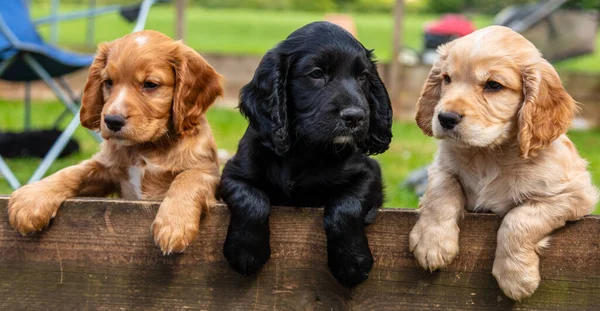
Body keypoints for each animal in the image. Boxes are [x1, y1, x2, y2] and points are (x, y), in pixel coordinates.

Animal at [7, 29, 223, 255]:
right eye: (109, 82)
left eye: (150, 84)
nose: (112, 121)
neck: (146, 148)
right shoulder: (106, 168)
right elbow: (72, 171)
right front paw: (32, 199)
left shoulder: (207, 172)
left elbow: (187, 178)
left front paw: (173, 225)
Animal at [218, 22, 392, 288]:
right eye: (317, 74)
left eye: (363, 76)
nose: (355, 117)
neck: (306, 149)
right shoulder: (233, 172)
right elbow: (251, 199)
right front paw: (246, 251)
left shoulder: (369, 173)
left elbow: (346, 206)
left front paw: (351, 261)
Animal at [410, 26, 596, 302]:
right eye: (447, 79)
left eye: (493, 85)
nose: (445, 118)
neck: (488, 155)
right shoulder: (441, 166)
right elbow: (441, 189)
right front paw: (431, 243)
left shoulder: (572, 194)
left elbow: (518, 219)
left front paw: (516, 277)